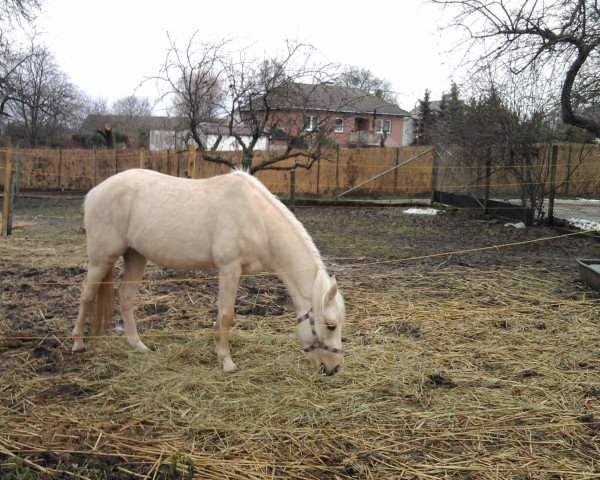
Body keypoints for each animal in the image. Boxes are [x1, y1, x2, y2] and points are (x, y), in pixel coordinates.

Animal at [71, 169, 346, 376]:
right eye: (331, 326)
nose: (333, 368)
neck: (256, 218)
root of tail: (95, 192)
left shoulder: (238, 272)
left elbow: (222, 315)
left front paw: (217, 350)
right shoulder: (228, 268)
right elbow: (227, 315)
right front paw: (227, 363)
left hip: (136, 255)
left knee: (126, 296)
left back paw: (137, 344)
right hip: (102, 258)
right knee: (86, 294)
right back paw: (78, 343)